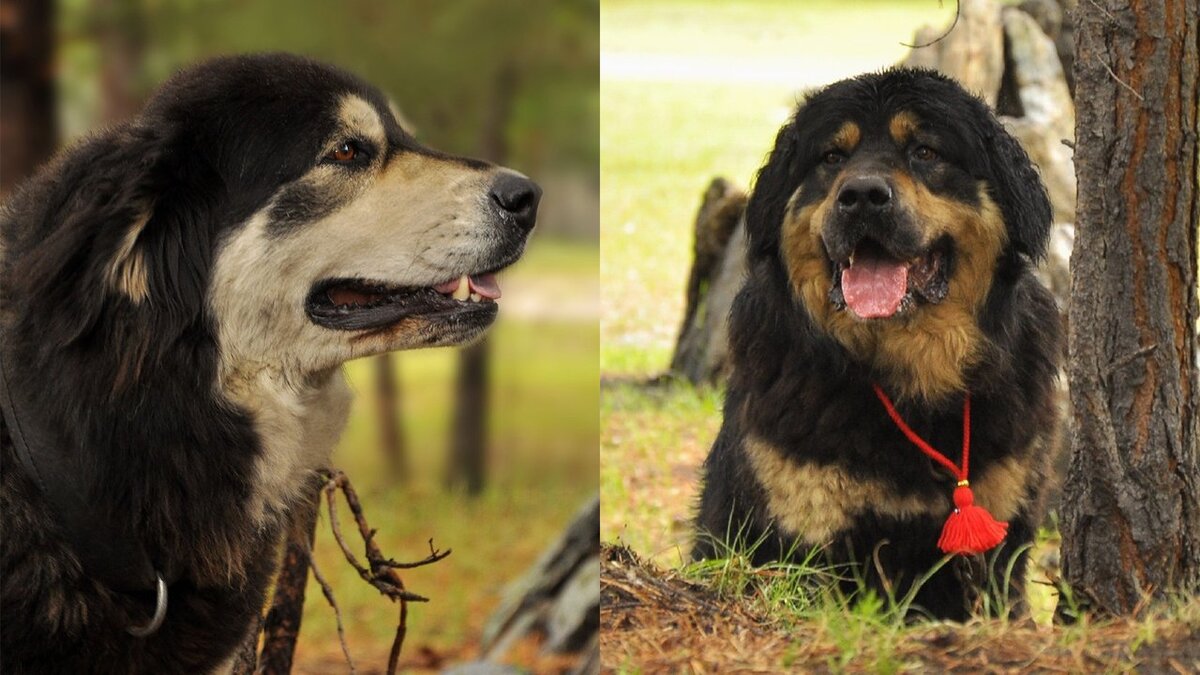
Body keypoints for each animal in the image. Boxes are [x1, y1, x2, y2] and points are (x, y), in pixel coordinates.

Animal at [696, 65, 1060, 619]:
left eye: (925, 151)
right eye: (832, 157)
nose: (862, 195)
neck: (911, 381)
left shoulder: (1001, 525)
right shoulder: (801, 530)